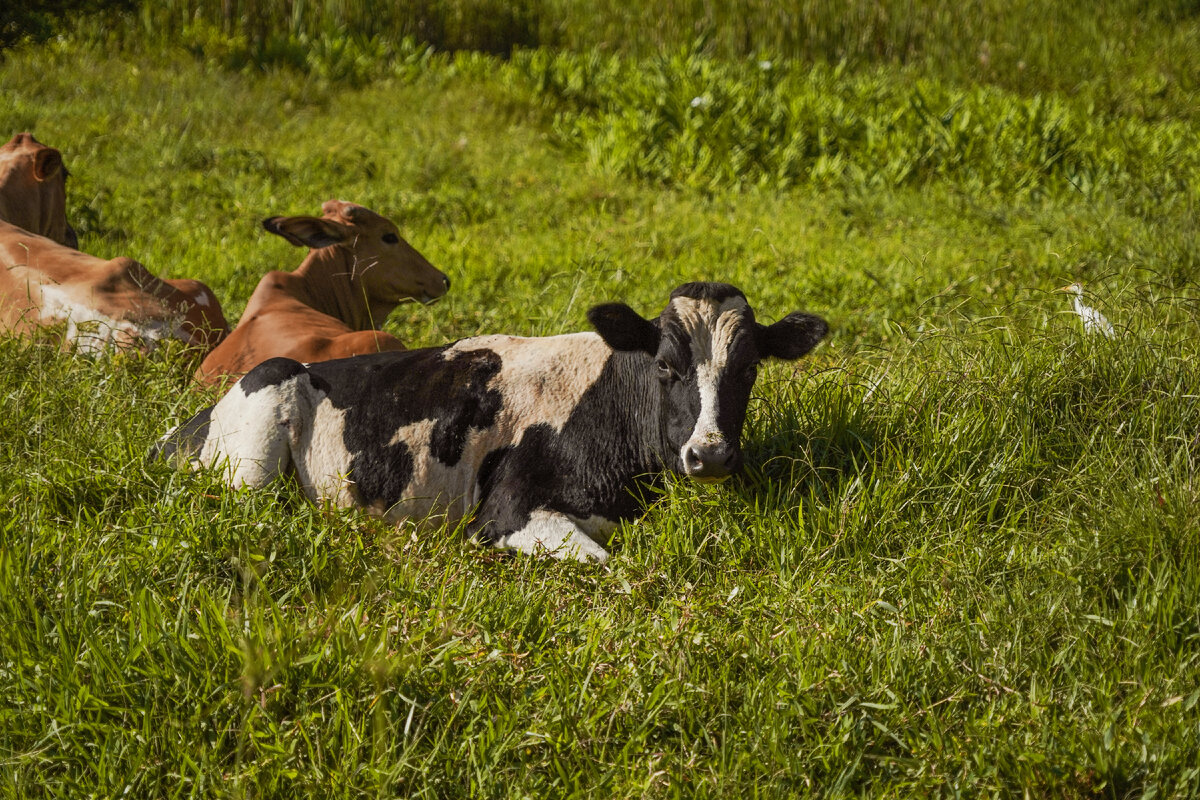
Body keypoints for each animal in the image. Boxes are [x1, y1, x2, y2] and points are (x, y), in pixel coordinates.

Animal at [157, 281, 825, 563]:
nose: (709, 455)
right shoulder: (507, 512)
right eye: (664, 364)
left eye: (750, 368)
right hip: (259, 433)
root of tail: (182, 429)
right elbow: (619, 568)